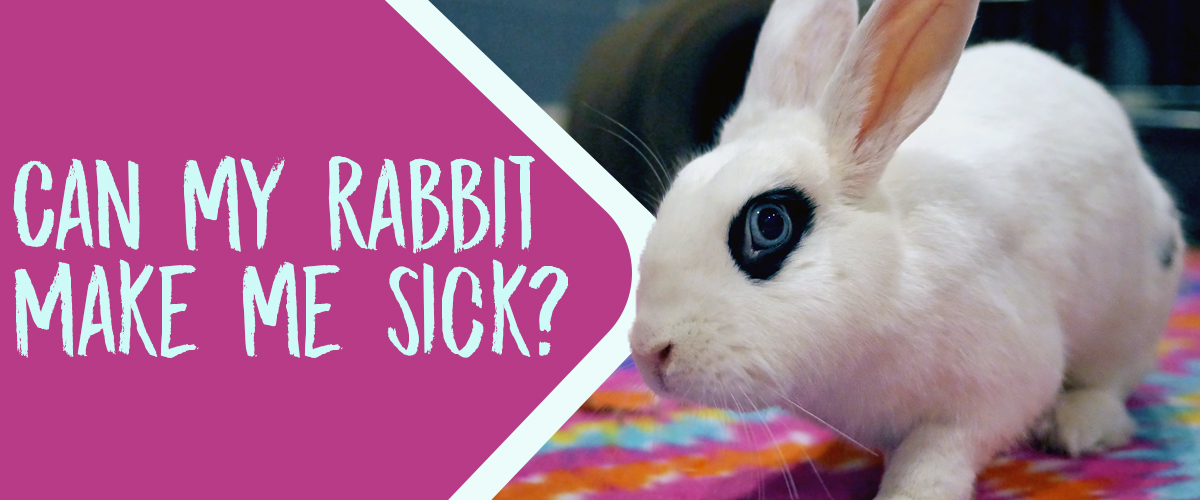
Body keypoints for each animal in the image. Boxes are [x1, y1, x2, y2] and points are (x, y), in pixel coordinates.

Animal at [627, 0, 1184, 498]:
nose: (650, 353)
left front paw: (910, 494)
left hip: (1128, 316)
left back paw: (1077, 427)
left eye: (769, 223)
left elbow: (934, 459)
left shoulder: (993, 392)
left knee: (1113, 381)